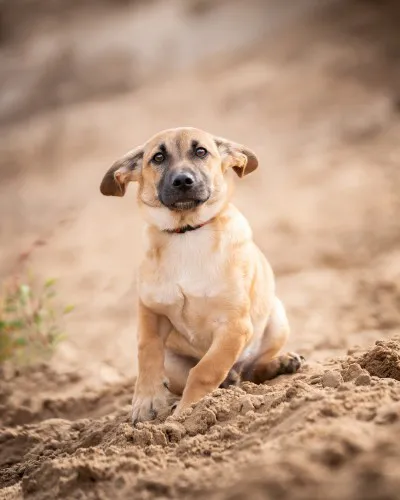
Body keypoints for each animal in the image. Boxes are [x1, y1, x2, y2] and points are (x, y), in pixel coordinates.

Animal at [101, 127, 304, 424]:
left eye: (201, 152)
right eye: (158, 157)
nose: (183, 181)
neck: (187, 233)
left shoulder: (234, 326)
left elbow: (206, 370)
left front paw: (187, 414)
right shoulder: (151, 311)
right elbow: (148, 352)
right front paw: (147, 402)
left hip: (277, 319)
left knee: (251, 370)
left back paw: (281, 362)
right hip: (175, 362)